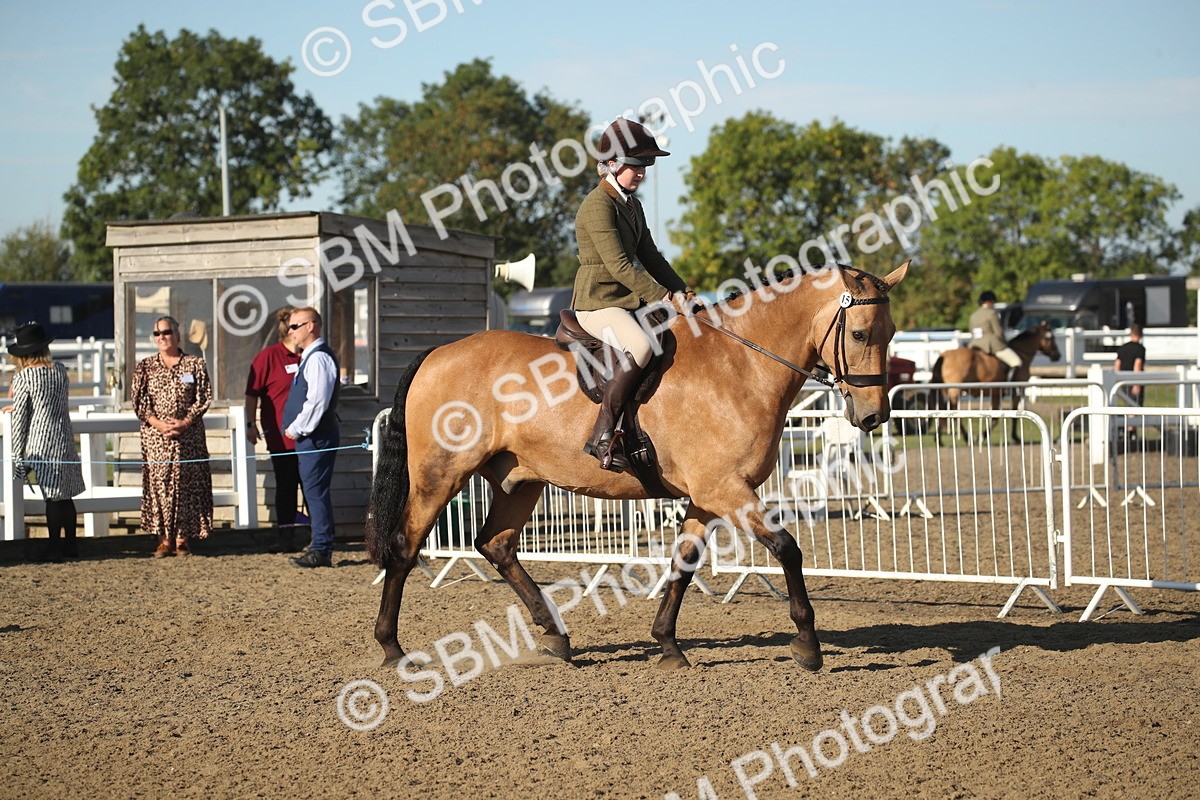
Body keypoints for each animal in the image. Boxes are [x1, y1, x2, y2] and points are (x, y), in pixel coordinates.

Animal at [365, 261, 910, 674]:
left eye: (892, 334)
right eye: (859, 333)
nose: (873, 416)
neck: (739, 365)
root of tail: (438, 353)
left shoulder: (707, 496)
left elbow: (683, 564)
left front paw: (667, 645)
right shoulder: (728, 490)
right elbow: (787, 549)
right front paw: (808, 645)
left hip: (519, 480)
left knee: (495, 545)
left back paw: (556, 636)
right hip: (439, 476)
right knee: (406, 547)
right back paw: (392, 648)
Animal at [929, 321, 1061, 442]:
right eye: (1051, 337)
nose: (1057, 355)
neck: (1021, 353)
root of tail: (943, 355)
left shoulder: (996, 393)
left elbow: (995, 416)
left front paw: (983, 435)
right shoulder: (1017, 390)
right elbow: (1013, 413)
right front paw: (1013, 437)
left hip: (945, 390)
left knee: (941, 408)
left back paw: (939, 439)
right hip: (954, 390)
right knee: (952, 411)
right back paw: (966, 437)